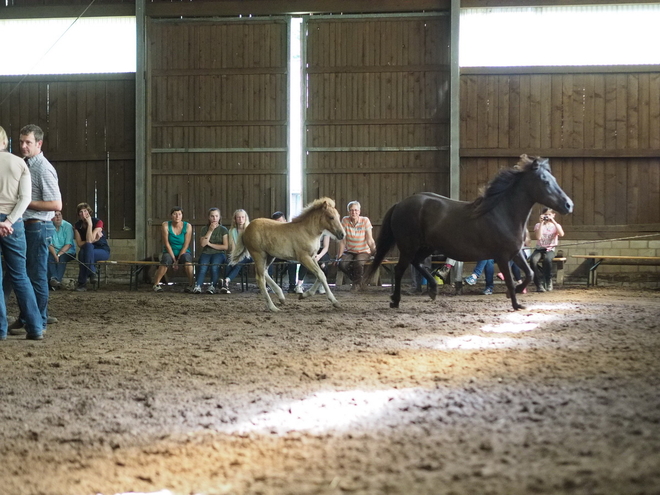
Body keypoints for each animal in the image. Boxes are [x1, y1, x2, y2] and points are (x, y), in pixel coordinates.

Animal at [366, 155, 572, 310]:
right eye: (545, 181)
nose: (569, 205)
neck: (503, 213)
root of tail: (400, 204)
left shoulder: (516, 253)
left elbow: (528, 273)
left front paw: (514, 298)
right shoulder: (502, 256)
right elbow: (510, 280)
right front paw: (515, 303)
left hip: (427, 246)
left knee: (417, 263)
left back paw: (433, 290)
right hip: (408, 246)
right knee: (400, 269)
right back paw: (395, 301)